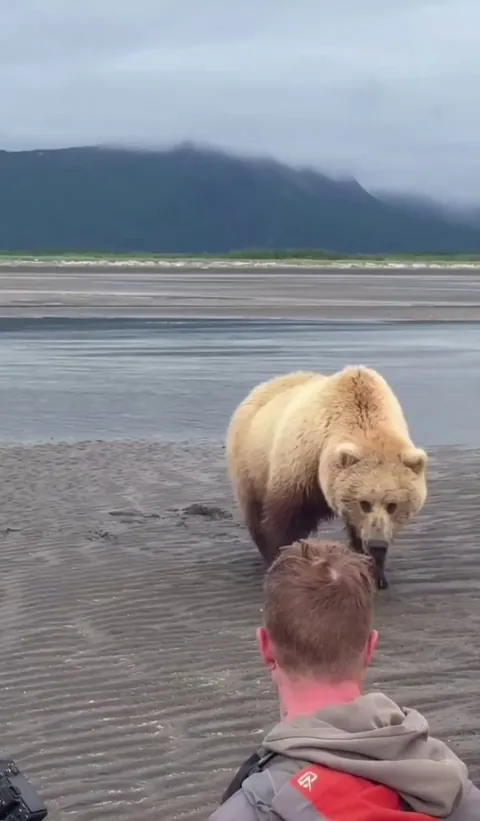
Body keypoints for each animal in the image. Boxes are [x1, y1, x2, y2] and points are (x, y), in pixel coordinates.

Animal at [225, 365, 428, 589]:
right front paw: (283, 564)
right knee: (254, 513)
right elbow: (284, 522)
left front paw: (376, 574)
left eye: (393, 505)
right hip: (249, 463)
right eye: (364, 503)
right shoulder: (300, 470)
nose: (377, 544)